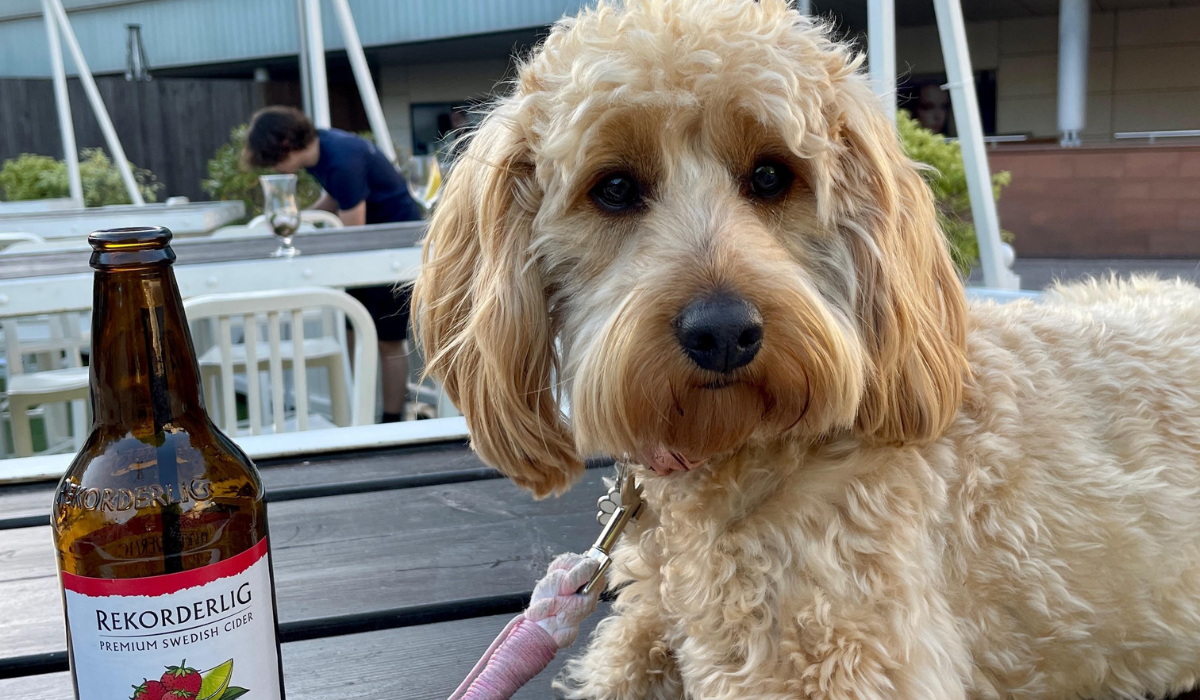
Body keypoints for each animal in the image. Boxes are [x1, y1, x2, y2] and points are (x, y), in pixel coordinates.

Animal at [415, 2, 1200, 696]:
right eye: (613, 188)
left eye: (770, 175)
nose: (723, 332)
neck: (742, 450)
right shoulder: (648, 626)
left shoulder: (843, 656)